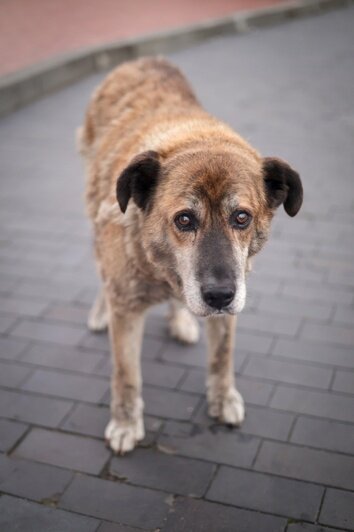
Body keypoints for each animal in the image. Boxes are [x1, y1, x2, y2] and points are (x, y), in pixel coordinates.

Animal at [79, 57, 302, 454]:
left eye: (241, 217)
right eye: (184, 219)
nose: (218, 296)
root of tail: (141, 60)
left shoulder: (233, 293)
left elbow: (222, 357)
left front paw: (223, 399)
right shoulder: (127, 310)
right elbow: (126, 375)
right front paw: (125, 423)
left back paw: (181, 318)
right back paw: (102, 310)